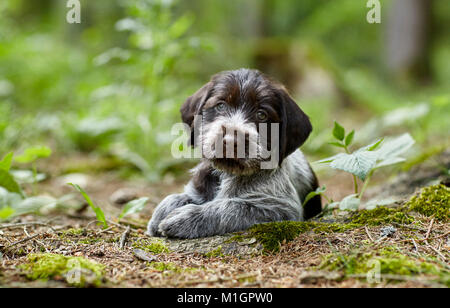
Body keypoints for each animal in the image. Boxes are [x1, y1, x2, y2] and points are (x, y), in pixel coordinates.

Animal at [149, 69, 322, 238]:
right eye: (220, 106)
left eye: (261, 115)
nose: (231, 141)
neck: (228, 173)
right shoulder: (198, 190)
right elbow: (178, 197)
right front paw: (162, 211)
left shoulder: (281, 209)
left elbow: (232, 206)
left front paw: (187, 217)